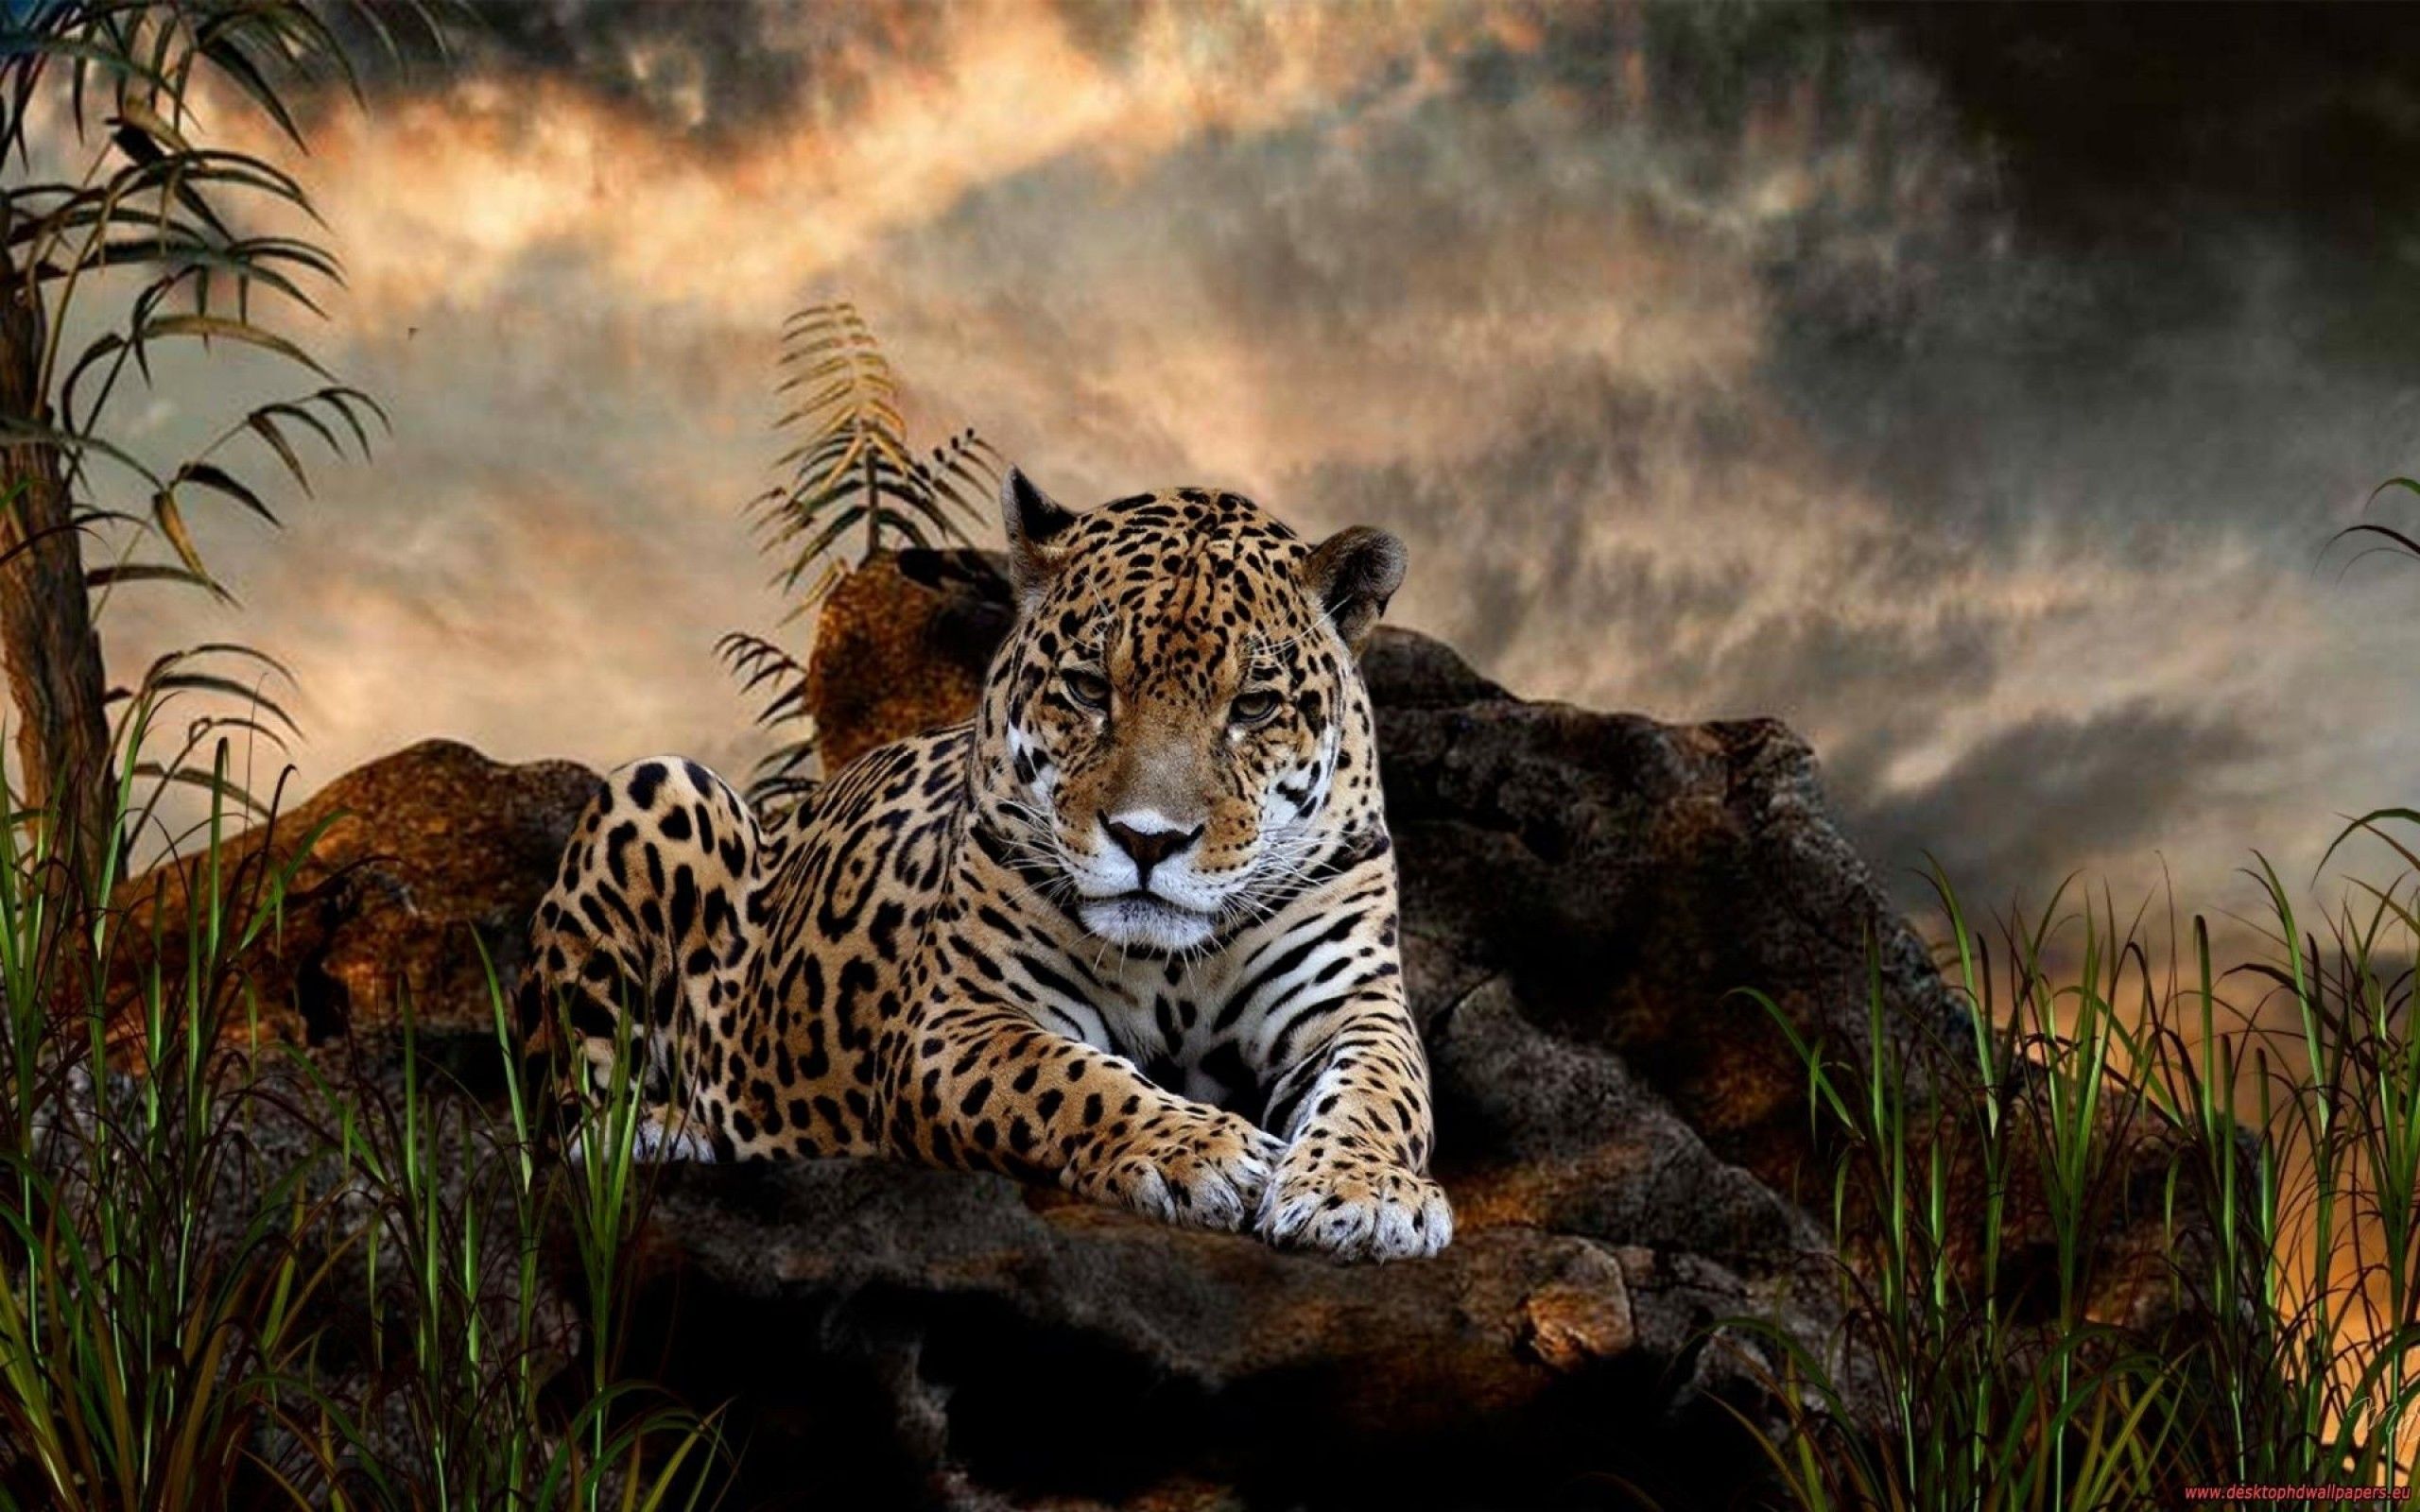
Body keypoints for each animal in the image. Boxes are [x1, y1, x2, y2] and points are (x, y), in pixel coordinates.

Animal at [515, 469, 1450, 1262]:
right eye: (1088, 689)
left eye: (1253, 707)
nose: (1147, 840)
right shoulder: (959, 1022)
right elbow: (1071, 1080)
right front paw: (1205, 1150)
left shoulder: (1352, 1005)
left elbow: (1381, 1092)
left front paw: (1364, 1193)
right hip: (657, 786)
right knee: (563, 1113)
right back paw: (663, 1130)